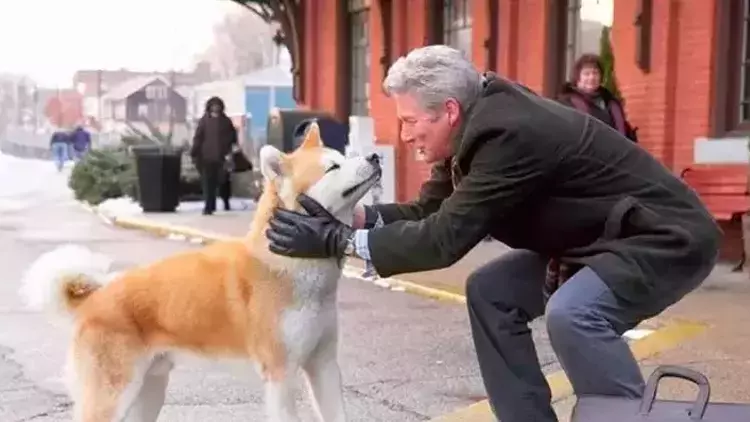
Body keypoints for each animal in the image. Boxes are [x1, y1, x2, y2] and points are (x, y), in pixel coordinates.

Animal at [20, 123, 384, 422]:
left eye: (343, 156)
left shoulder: (323, 366)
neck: (290, 264)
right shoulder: (280, 374)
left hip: (149, 392)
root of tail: (94, 298)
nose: (375, 156)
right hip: (113, 396)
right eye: (333, 167)